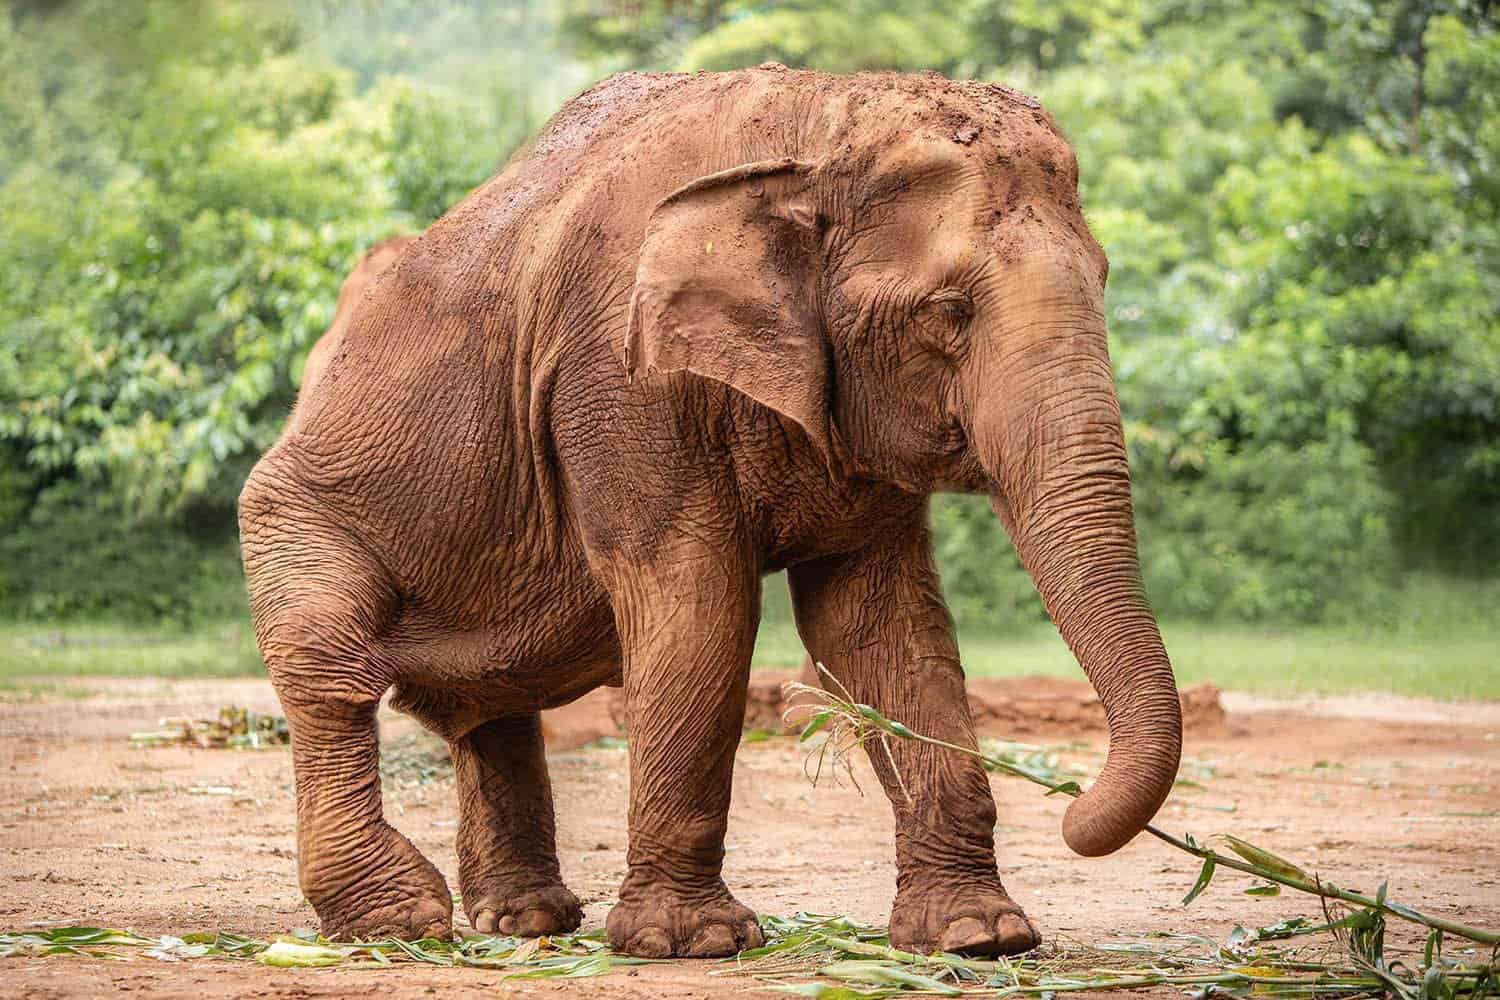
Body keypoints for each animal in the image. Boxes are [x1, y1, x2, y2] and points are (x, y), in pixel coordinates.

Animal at [238, 65, 1182, 960]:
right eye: (948, 311)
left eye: (1104, 279)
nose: (1071, 813)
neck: (815, 122)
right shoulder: (622, 378)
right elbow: (699, 605)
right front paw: (692, 943)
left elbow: (881, 627)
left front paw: (977, 937)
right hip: (290, 512)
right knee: (327, 665)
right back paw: (401, 921)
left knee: (488, 707)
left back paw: (526, 921)